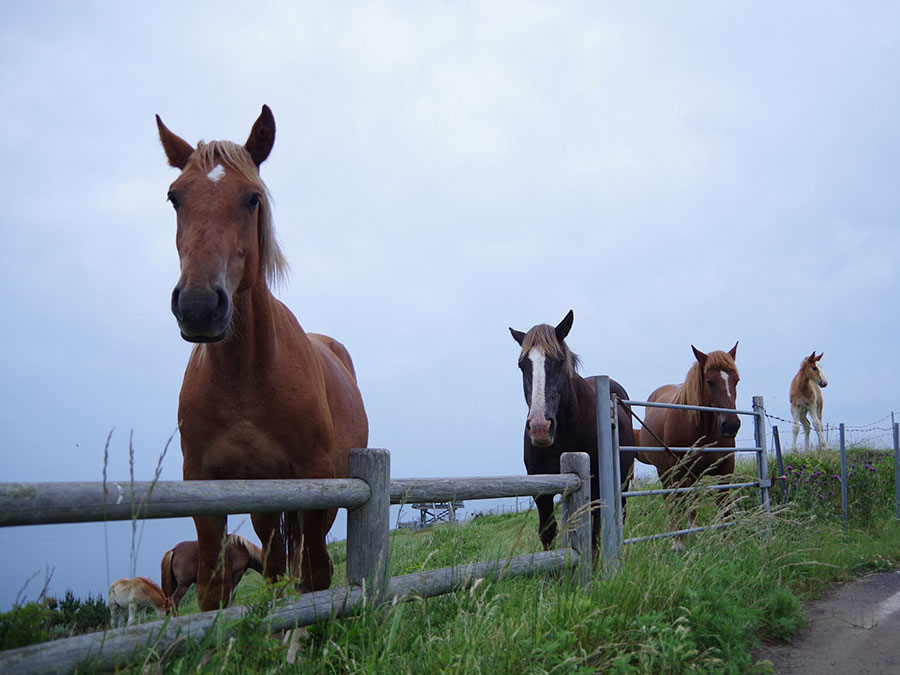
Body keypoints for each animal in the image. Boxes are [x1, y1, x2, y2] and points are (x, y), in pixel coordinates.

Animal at [156, 105, 368, 612]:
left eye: (252, 198)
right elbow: (213, 590)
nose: (198, 305)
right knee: (274, 570)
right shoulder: (206, 484)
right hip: (265, 503)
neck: (245, 381)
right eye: (174, 198)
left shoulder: (315, 482)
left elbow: (315, 577)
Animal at [510, 312, 636, 556]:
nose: (540, 427)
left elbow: (593, 533)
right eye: (521, 365)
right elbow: (548, 531)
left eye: (560, 361)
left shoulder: (595, 487)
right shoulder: (542, 491)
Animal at [632, 344, 740, 548]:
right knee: (671, 500)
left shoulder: (725, 469)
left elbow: (724, 505)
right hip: (665, 472)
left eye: (736, 380)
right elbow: (676, 502)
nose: (731, 425)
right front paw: (678, 543)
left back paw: (693, 531)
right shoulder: (676, 470)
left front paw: (729, 542)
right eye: (709, 381)